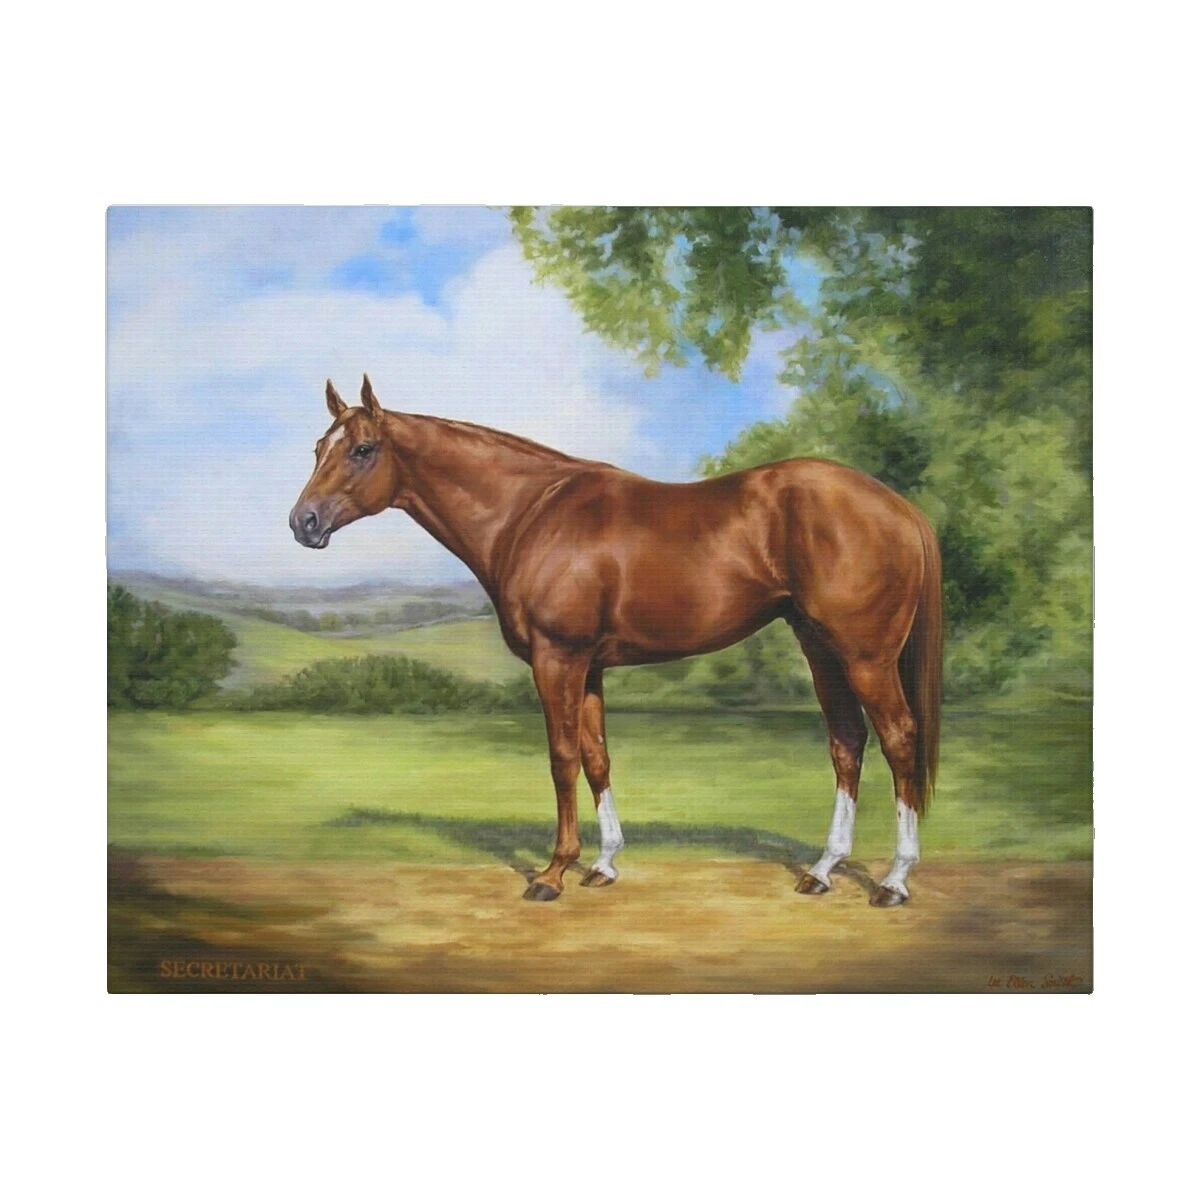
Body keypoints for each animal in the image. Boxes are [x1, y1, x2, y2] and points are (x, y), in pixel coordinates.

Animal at [290, 375, 942, 906]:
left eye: (363, 449)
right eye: (320, 448)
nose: (303, 523)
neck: (530, 513)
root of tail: (900, 507)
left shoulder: (557, 658)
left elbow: (561, 758)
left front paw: (553, 873)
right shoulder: (590, 667)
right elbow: (597, 756)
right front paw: (603, 865)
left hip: (865, 657)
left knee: (899, 739)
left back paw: (893, 881)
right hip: (820, 649)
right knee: (847, 742)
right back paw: (823, 871)